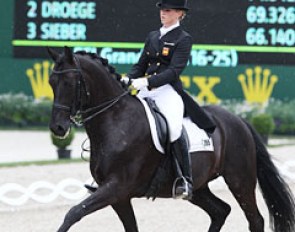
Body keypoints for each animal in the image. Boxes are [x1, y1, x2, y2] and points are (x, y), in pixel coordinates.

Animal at [47, 46, 294, 231]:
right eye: (51, 82)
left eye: (69, 82)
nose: (58, 128)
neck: (115, 119)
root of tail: (239, 120)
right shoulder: (119, 197)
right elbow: (129, 227)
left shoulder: (115, 188)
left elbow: (73, 213)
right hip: (199, 187)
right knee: (221, 211)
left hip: (240, 179)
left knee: (255, 219)